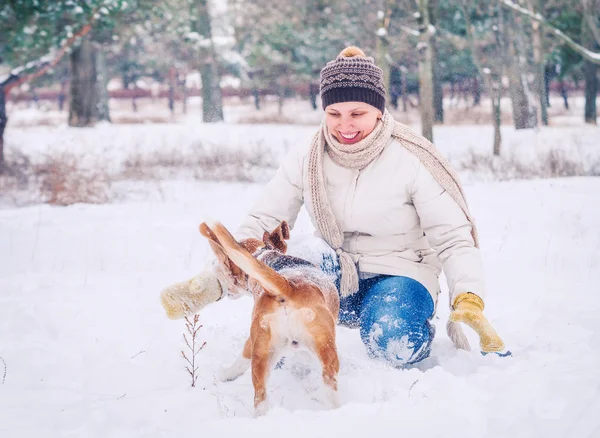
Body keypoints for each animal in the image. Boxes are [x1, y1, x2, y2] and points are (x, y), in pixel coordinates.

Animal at [200, 221, 342, 416]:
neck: (266, 256)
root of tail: (288, 287)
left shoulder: (254, 339)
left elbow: (243, 356)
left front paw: (228, 374)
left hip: (263, 353)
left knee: (260, 395)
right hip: (323, 347)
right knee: (329, 380)